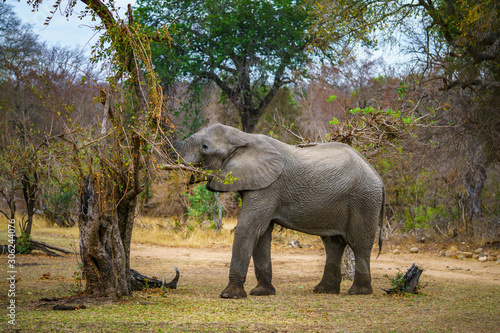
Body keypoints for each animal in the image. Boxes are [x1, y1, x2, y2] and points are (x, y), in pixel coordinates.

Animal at [174, 122, 384, 298]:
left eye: (205, 147)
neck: (243, 137)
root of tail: (378, 177)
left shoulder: (269, 187)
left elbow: (248, 228)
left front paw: (229, 295)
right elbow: (262, 234)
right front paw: (262, 293)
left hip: (364, 199)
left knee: (359, 244)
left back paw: (358, 292)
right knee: (333, 244)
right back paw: (323, 290)